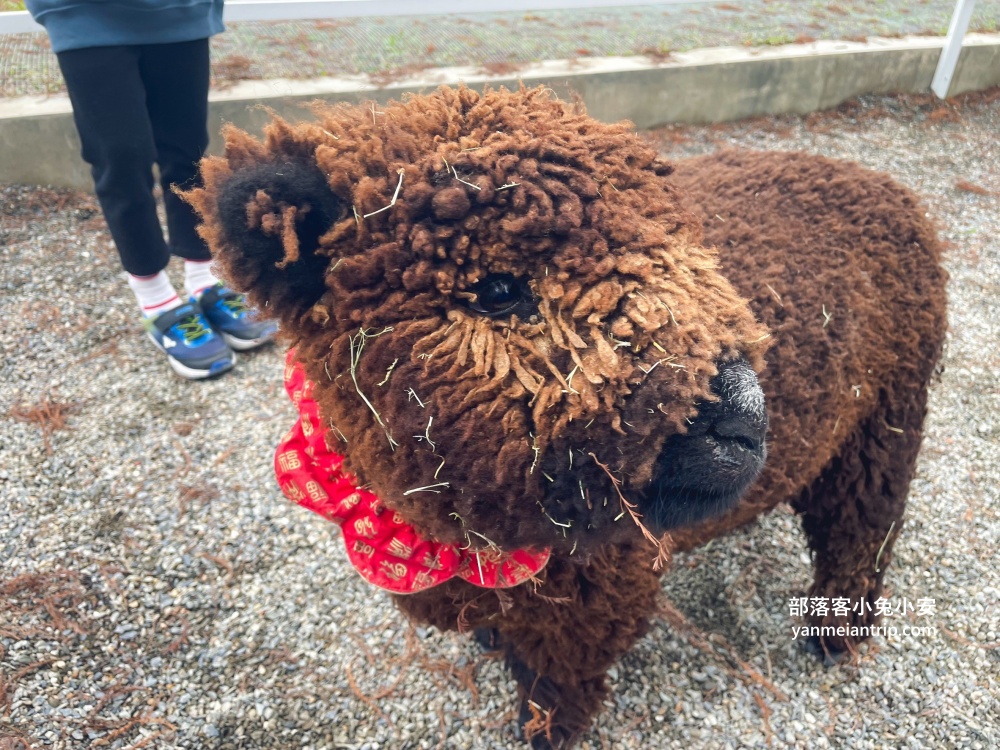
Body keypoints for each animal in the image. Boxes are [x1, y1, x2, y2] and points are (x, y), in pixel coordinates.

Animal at [182, 85, 944, 748]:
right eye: (496, 289)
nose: (747, 421)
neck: (450, 538)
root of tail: (886, 186)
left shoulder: (593, 604)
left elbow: (557, 683)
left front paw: (543, 731)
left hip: (885, 425)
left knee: (862, 534)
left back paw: (835, 637)